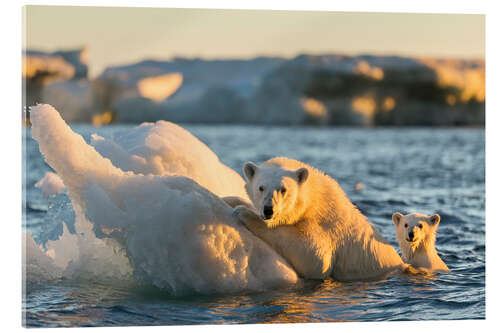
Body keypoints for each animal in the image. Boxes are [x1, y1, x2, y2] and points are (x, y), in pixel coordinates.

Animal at [234, 156, 406, 280]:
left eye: (283, 189)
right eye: (261, 188)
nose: (268, 210)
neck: (315, 198)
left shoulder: (327, 225)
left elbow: (317, 258)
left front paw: (244, 212)